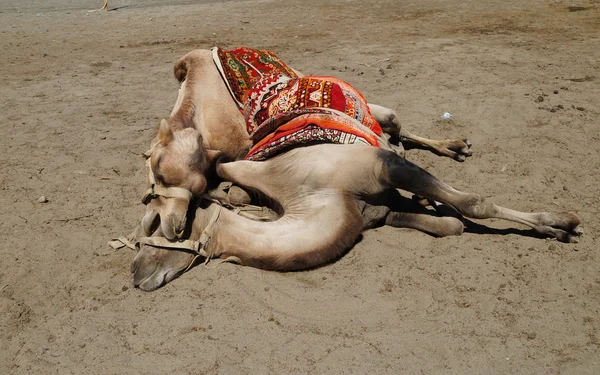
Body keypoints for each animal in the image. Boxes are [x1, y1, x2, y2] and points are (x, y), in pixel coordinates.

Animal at [143, 48, 472, 241]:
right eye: (155, 177)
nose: (171, 227)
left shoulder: (250, 149)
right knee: (399, 141)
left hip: (386, 114)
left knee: (401, 134)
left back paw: (454, 148)